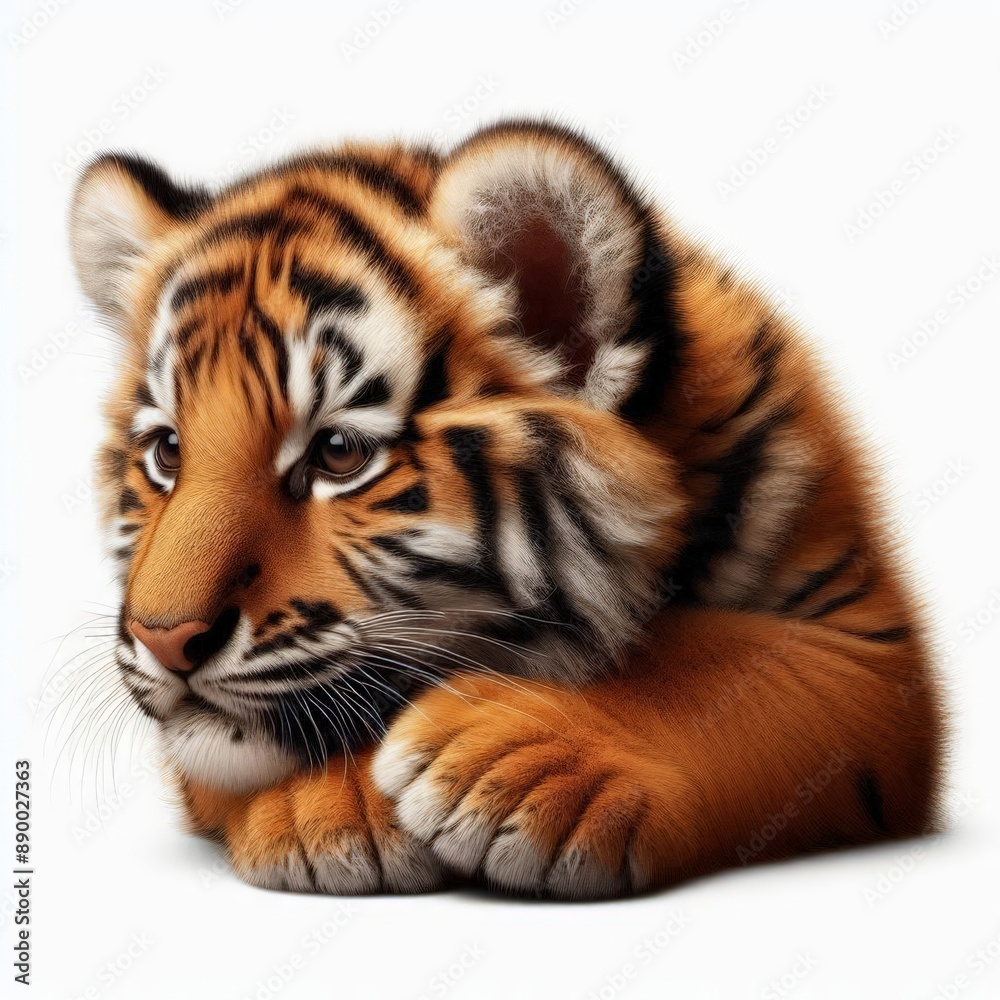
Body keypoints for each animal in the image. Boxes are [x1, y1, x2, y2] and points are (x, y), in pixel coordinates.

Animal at [68, 118, 943, 900]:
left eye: (338, 453)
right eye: (168, 452)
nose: (163, 638)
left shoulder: (877, 654)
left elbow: (729, 661)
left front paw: (508, 757)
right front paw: (329, 810)